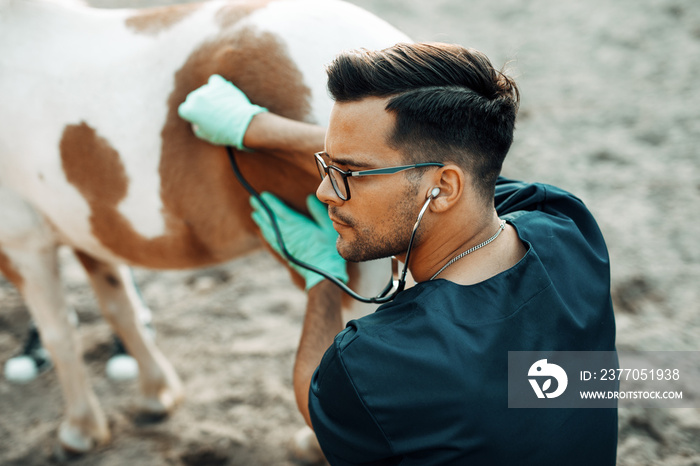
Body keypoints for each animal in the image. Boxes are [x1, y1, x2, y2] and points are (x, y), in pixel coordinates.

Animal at [0, 0, 410, 454]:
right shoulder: (86, 233)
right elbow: (120, 307)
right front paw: (155, 395)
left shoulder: (22, 245)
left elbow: (59, 333)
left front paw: (81, 430)